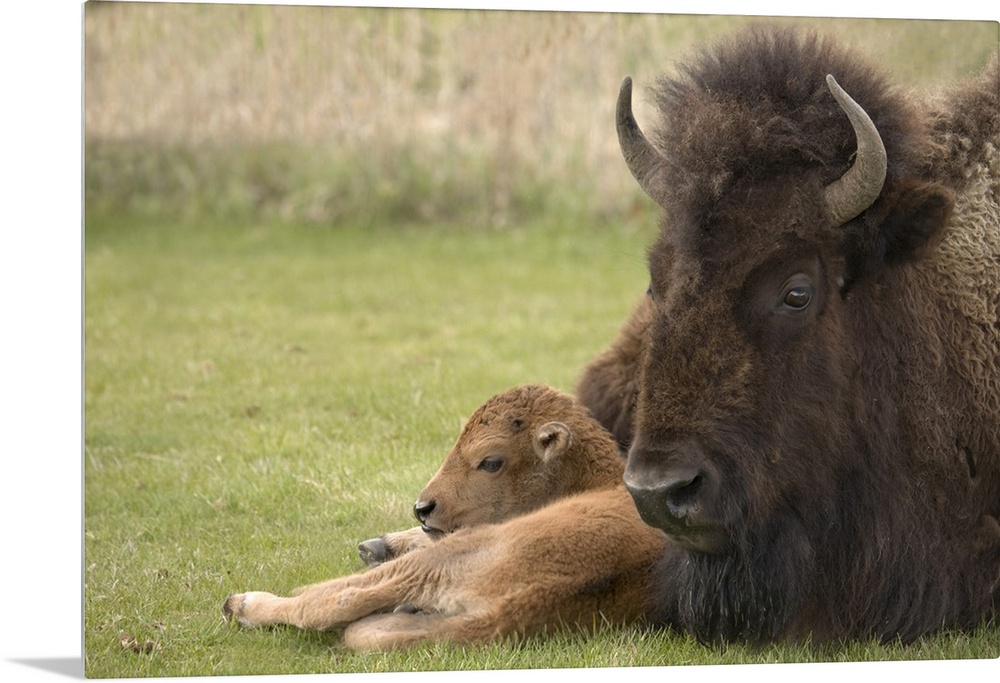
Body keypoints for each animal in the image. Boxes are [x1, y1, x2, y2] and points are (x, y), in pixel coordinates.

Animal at [222, 385, 667, 650]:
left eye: (491, 461)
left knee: (332, 600)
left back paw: (241, 604)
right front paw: (379, 543)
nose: (423, 508)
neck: (598, 478)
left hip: (443, 559)